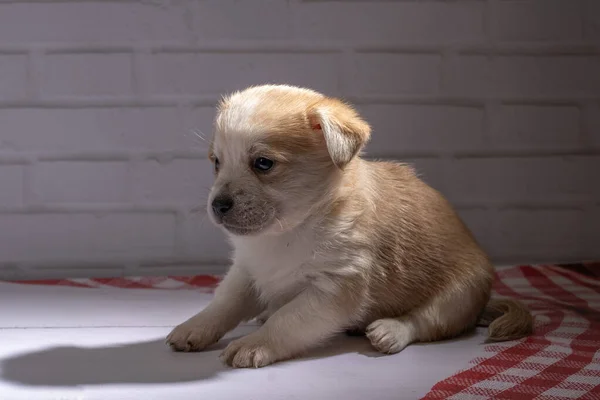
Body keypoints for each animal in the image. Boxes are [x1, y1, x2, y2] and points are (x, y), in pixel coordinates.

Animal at [165, 84, 536, 368]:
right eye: (216, 163)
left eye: (263, 164)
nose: (217, 205)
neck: (289, 232)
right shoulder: (246, 273)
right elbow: (222, 305)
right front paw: (194, 327)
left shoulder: (332, 290)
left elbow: (288, 321)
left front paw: (254, 343)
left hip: (459, 295)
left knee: (426, 321)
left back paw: (389, 331)